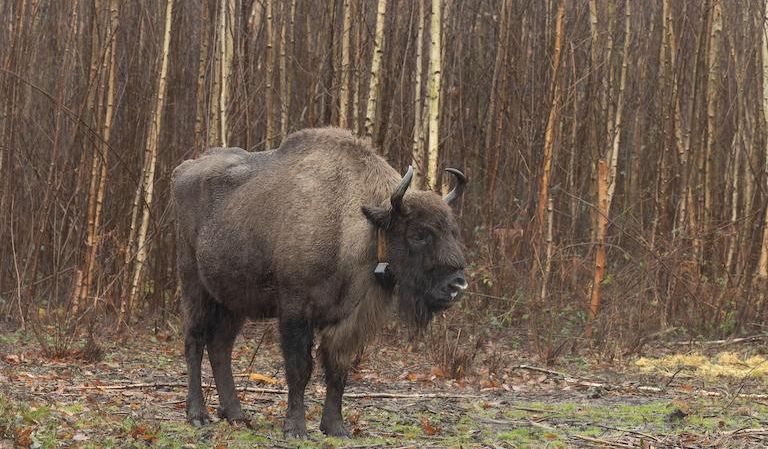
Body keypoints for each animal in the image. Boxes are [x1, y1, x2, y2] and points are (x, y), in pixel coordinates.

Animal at [170, 128, 464, 436]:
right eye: (419, 233)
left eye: (452, 230)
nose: (457, 285)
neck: (356, 224)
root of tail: (183, 170)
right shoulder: (295, 310)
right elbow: (300, 369)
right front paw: (296, 428)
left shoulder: (347, 319)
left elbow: (337, 371)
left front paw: (336, 428)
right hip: (194, 286)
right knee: (194, 341)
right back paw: (198, 414)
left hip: (233, 301)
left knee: (220, 347)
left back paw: (236, 415)